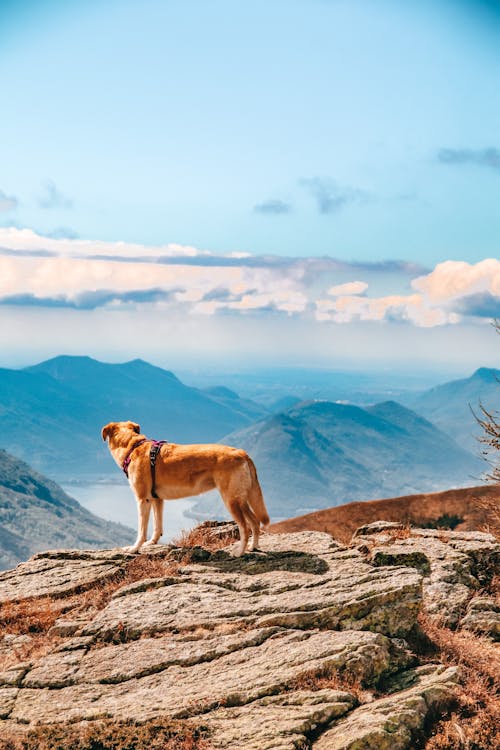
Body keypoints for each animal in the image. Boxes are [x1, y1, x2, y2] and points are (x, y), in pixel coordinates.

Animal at [101, 424, 270, 560]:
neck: (133, 446)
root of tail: (242, 453)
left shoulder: (143, 500)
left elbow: (141, 531)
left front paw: (135, 548)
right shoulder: (157, 500)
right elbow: (157, 526)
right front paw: (152, 543)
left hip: (231, 500)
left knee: (245, 527)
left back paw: (239, 552)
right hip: (241, 499)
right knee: (255, 522)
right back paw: (253, 547)